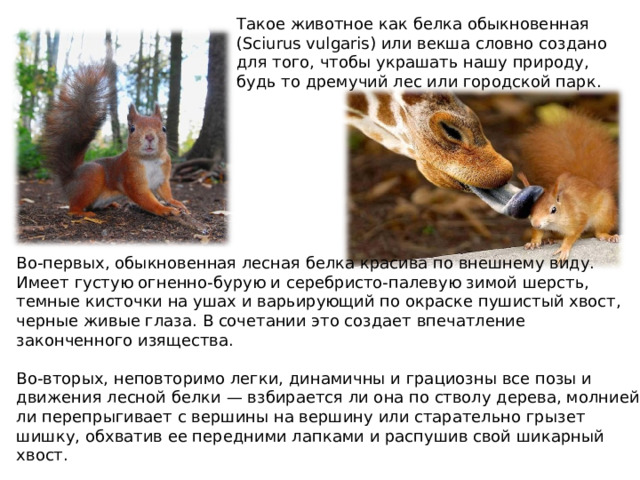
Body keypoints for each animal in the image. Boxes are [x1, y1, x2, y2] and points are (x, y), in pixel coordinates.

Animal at [42, 63, 188, 217]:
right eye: (132, 128)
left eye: (164, 128)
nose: (149, 137)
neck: (150, 160)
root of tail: (69, 181)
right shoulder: (131, 178)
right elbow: (145, 199)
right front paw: (165, 209)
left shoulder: (162, 178)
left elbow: (166, 194)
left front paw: (177, 203)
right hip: (92, 175)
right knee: (73, 208)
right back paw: (84, 213)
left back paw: (110, 205)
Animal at [519, 110, 619, 261]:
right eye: (530, 208)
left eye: (553, 210)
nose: (535, 223)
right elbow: (537, 232)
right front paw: (534, 242)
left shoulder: (578, 218)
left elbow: (573, 235)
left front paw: (564, 248)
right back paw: (553, 239)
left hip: (604, 215)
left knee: (599, 232)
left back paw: (607, 236)